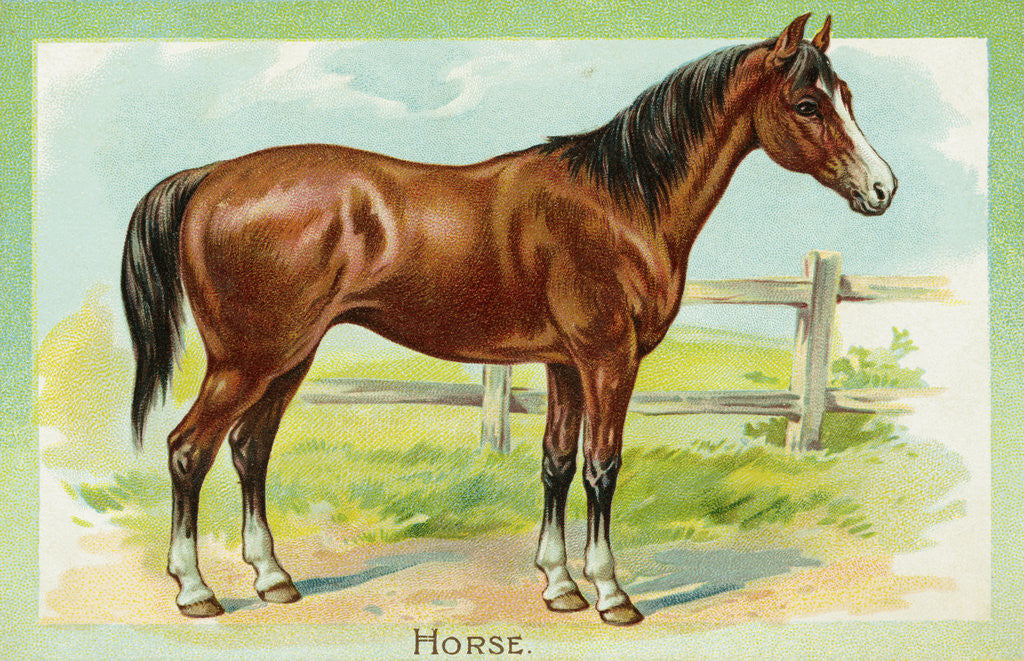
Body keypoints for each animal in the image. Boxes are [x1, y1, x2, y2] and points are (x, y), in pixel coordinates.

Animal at [121, 14, 895, 625]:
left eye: (849, 97)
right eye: (806, 103)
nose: (882, 188)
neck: (618, 202)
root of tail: (209, 178)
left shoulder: (564, 362)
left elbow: (556, 463)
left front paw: (559, 585)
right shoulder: (609, 358)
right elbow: (602, 467)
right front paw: (611, 594)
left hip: (289, 357)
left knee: (249, 450)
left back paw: (275, 580)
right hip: (246, 360)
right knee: (188, 449)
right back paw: (195, 591)